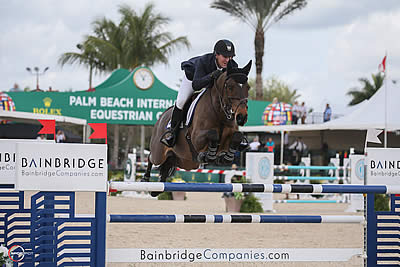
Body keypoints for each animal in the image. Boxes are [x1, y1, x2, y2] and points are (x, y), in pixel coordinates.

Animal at [143, 60, 250, 196]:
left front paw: (225, 157)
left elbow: (237, 136)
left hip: (186, 162)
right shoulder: (196, 138)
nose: (242, 117)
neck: (219, 112)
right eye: (230, 86)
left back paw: (156, 189)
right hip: (159, 153)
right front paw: (208, 156)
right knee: (151, 158)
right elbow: (213, 134)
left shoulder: (230, 135)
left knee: (167, 165)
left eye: (248, 87)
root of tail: (160, 118)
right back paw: (145, 179)